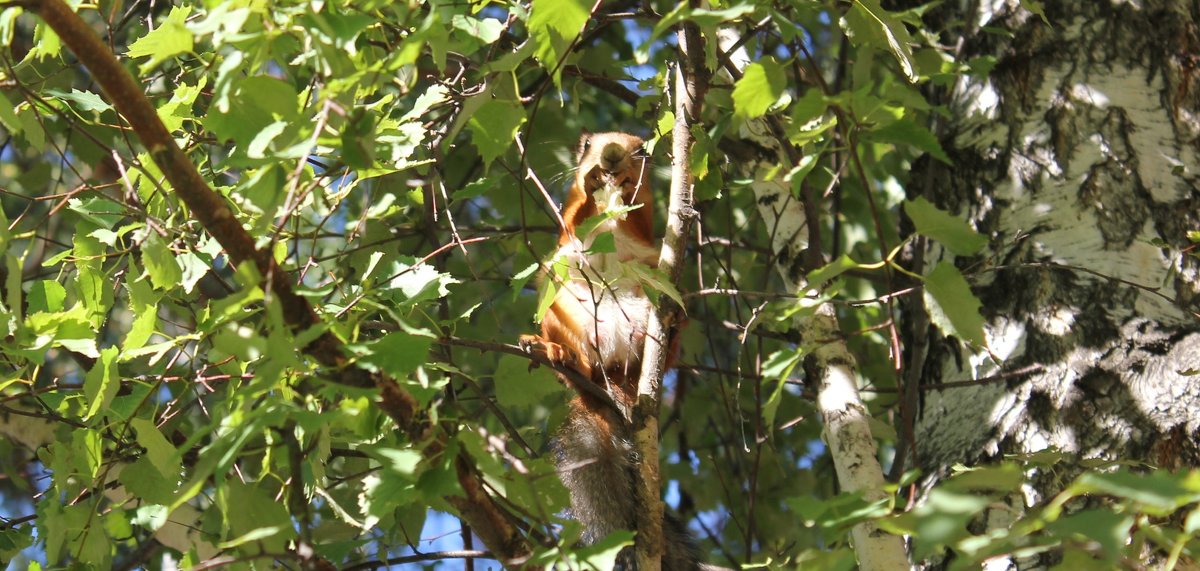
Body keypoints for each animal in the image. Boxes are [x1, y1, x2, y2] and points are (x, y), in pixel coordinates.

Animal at [520, 131, 705, 568]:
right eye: (588, 143)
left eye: (640, 148)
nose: (612, 156)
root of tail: (612, 377)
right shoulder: (567, 226)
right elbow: (573, 220)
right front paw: (593, 184)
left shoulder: (646, 222)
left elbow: (638, 219)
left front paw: (622, 184)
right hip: (558, 303)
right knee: (577, 359)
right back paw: (558, 355)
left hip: (653, 294)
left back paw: (671, 328)